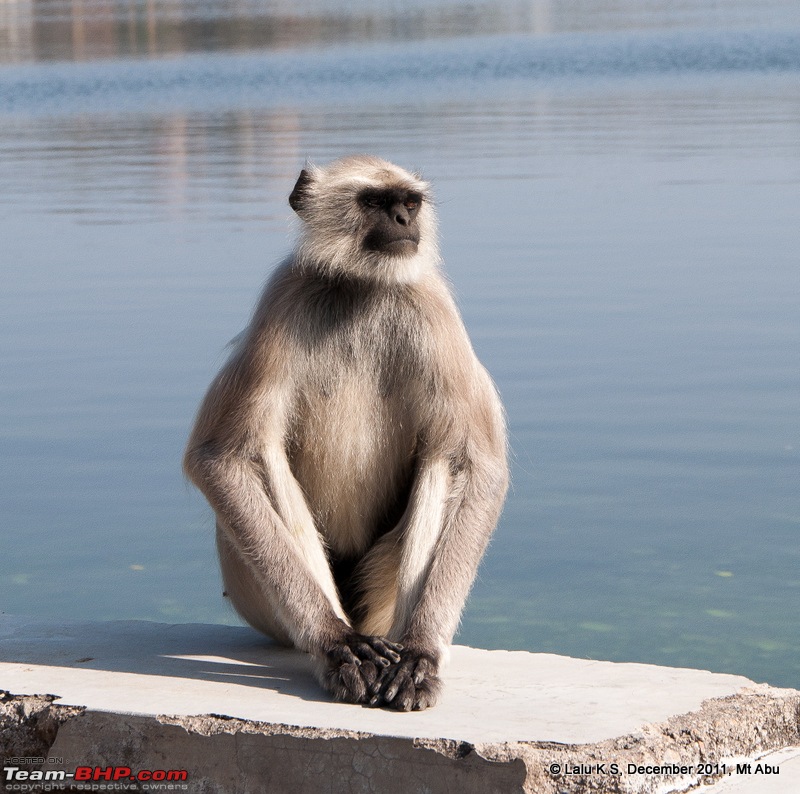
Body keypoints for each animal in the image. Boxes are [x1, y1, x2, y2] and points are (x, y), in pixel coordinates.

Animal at [185, 155, 510, 712]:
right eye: (375, 202)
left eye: (409, 203)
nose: (403, 221)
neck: (362, 287)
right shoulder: (286, 295)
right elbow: (220, 457)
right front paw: (334, 643)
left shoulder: (431, 306)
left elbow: (476, 462)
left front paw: (422, 652)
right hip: (259, 598)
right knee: (262, 454)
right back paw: (337, 645)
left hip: (379, 603)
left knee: (441, 460)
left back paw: (409, 654)